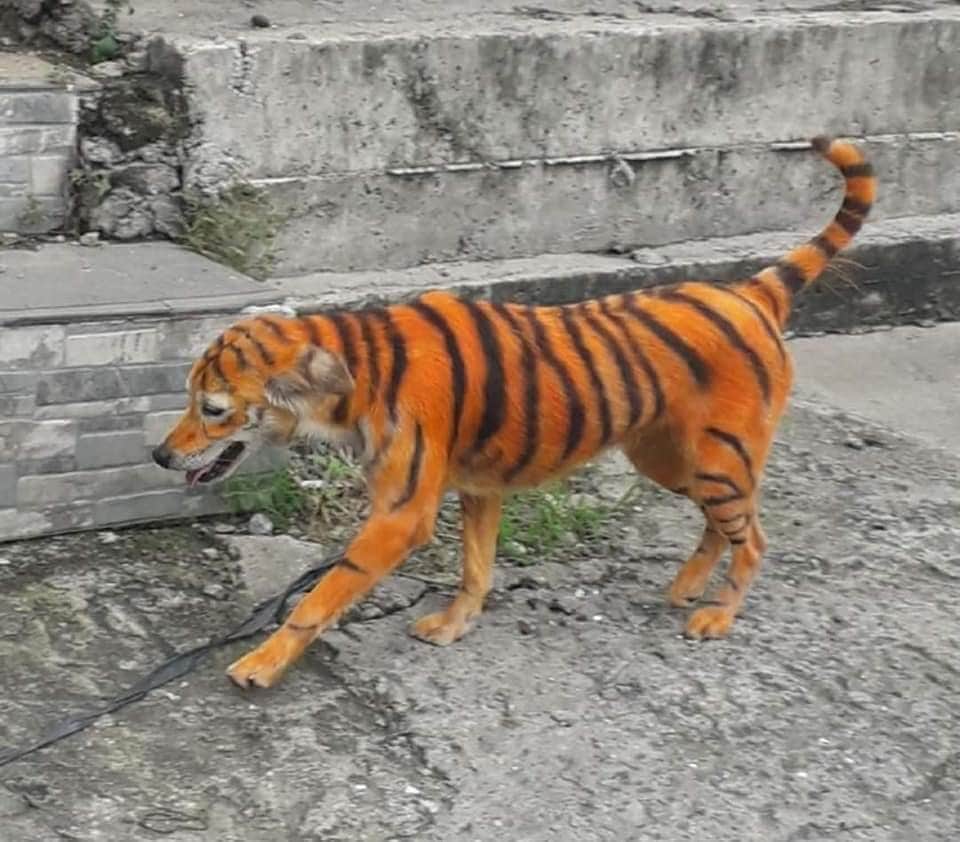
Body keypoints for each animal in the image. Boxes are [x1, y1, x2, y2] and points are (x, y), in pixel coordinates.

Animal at [153, 136, 876, 689]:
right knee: (723, 526)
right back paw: (687, 588)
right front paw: (453, 625)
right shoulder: (478, 488)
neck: (355, 371)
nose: (159, 454)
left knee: (753, 537)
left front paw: (260, 663)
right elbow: (476, 567)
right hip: (672, 458)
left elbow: (322, 594)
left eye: (213, 408)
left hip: (718, 459)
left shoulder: (402, 513)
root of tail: (751, 290)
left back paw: (717, 615)